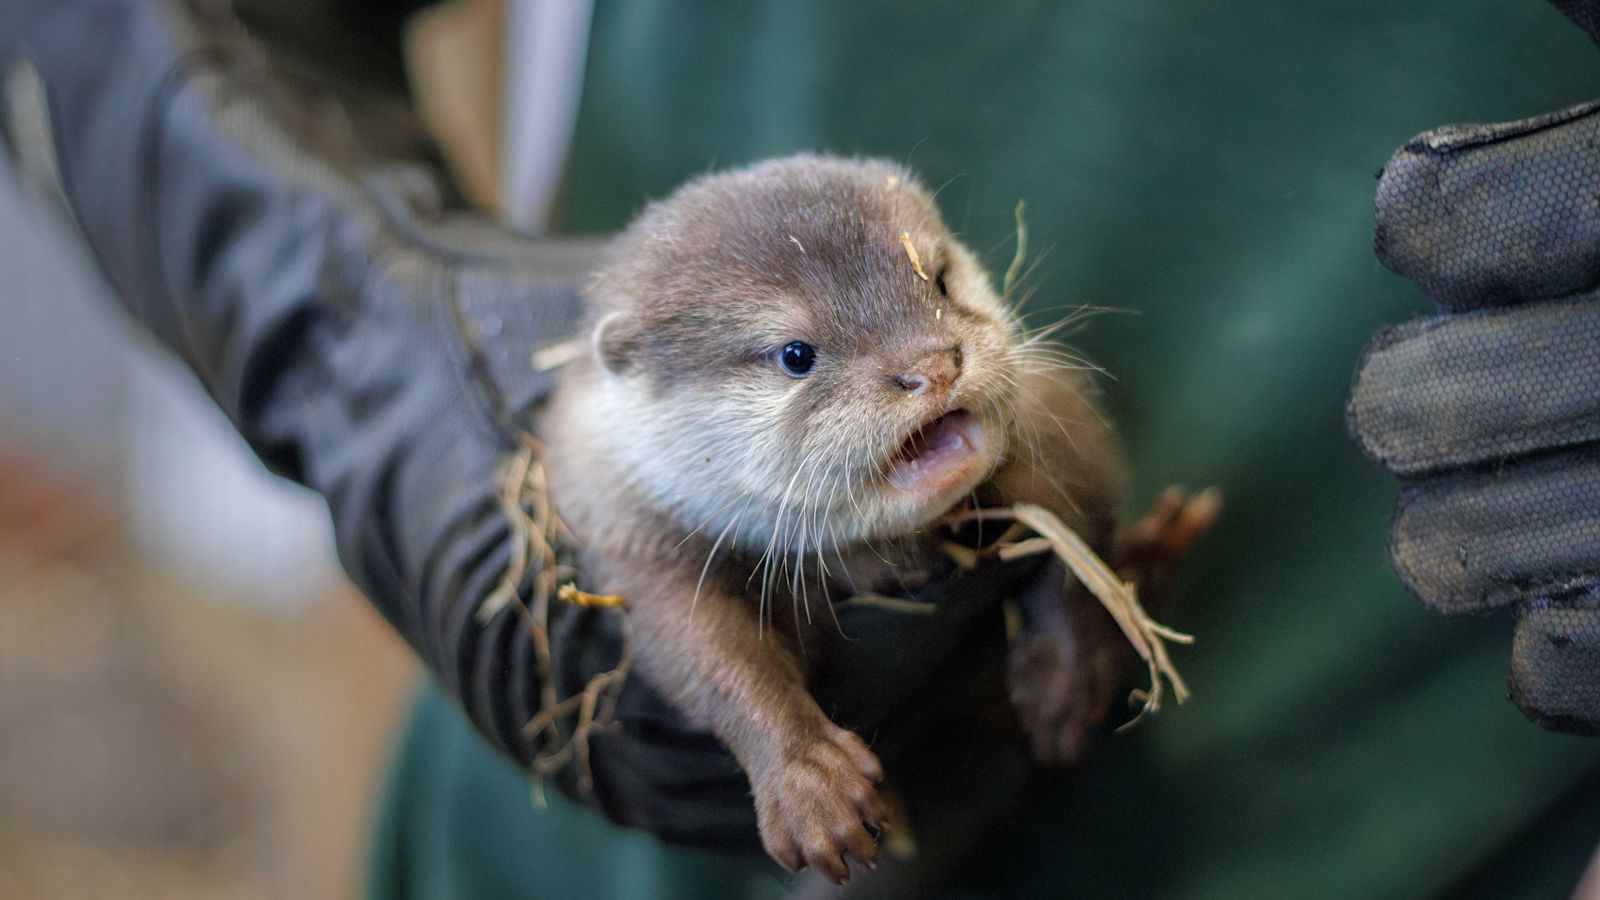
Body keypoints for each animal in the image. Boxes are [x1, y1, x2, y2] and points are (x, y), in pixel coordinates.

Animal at [540, 155, 1212, 884]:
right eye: (795, 355)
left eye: (938, 279)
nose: (933, 364)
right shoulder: (632, 536)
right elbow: (706, 652)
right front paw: (807, 781)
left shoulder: (1059, 427)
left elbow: (1075, 548)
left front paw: (1066, 673)